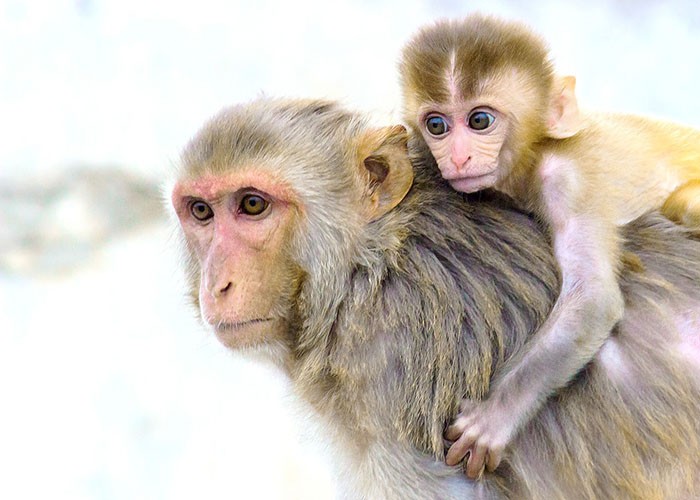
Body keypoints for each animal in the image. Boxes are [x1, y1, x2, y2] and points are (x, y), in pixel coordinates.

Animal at [398, 14, 700, 478]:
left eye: (480, 120)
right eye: (436, 126)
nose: (459, 158)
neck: (534, 155)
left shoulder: (568, 180)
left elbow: (592, 299)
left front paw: (493, 417)